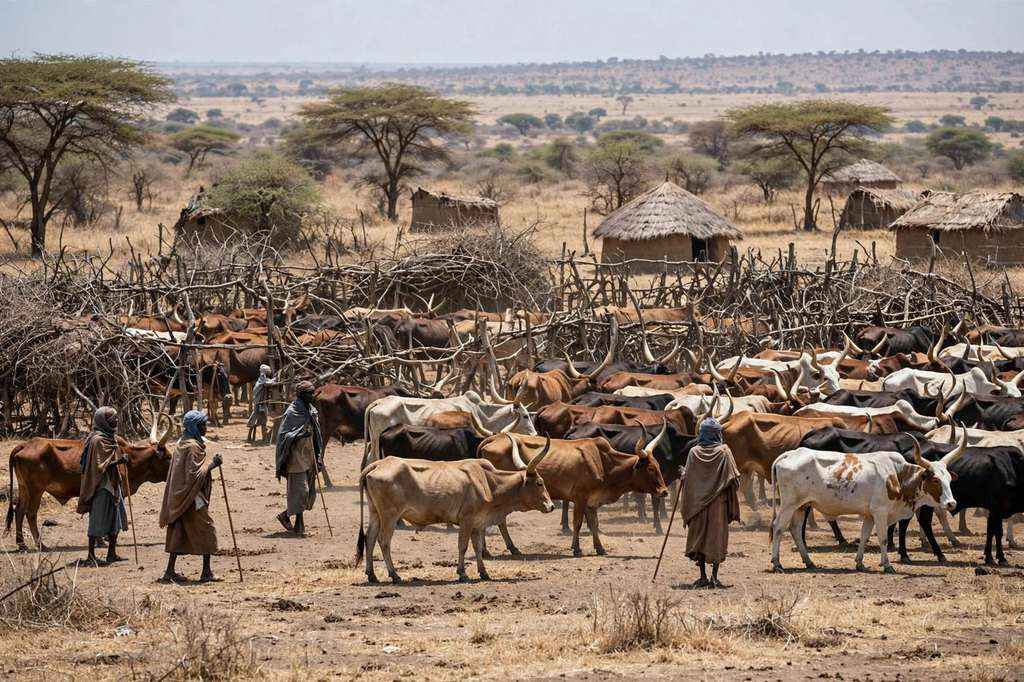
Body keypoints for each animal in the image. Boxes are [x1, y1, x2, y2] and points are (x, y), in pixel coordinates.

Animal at [5, 420, 173, 550]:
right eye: (168, 457)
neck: (131, 458)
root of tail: (25, 445)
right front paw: (103, 540)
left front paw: (101, 539)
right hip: (36, 490)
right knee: (30, 514)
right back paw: (41, 545)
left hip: (24, 488)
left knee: (19, 511)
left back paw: (22, 545)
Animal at [356, 440, 554, 583]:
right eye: (539, 483)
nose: (551, 506)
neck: (488, 482)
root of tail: (377, 464)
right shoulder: (467, 520)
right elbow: (463, 546)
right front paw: (463, 573)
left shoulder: (477, 523)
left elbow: (478, 547)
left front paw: (484, 573)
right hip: (389, 516)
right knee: (383, 541)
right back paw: (395, 575)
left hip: (375, 513)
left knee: (369, 538)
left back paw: (372, 575)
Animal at [479, 425, 669, 557]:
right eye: (650, 468)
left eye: (659, 466)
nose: (664, 491)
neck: (603, 461)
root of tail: (493, 438)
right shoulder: (580, 498)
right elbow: (577, 523)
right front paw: (577, 549)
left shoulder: (592, 501)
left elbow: (594, 524)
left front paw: (600, 548)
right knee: (499, 520)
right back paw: (507, 548)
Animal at [770, 439, 958, 573]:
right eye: (935, 480)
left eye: (949, 479)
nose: (951, 503)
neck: (896, 475)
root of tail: (788, 454)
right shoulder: (880, 512)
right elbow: (883, 539)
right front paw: (887, 565)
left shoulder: (869, 515)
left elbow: (864, 536)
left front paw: (860, 563)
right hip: (789, 505)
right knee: (778, 527)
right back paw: (777, 563)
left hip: (801, 505)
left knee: (795, 529)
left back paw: (809, 562)